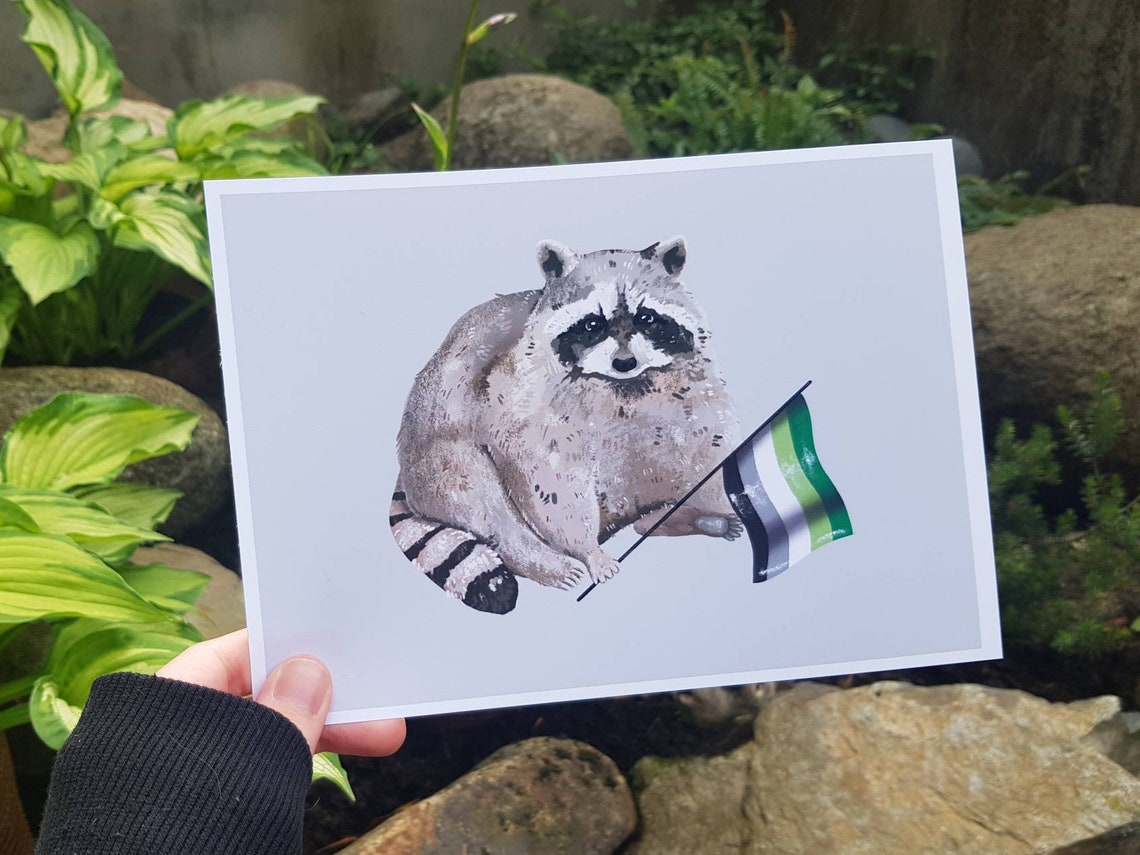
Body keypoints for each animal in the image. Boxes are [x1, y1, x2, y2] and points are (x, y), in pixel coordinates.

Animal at [392, 236, 741, 614]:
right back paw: (538, 557)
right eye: (592, 325)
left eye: (646, 318)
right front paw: (585, 550)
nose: (625, 362)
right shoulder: (520, 398)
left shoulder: (693, 388)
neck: (623, 385)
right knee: (482, 498)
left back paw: (674, 518)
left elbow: (708, 443)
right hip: (437, 449)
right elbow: (551, 478)